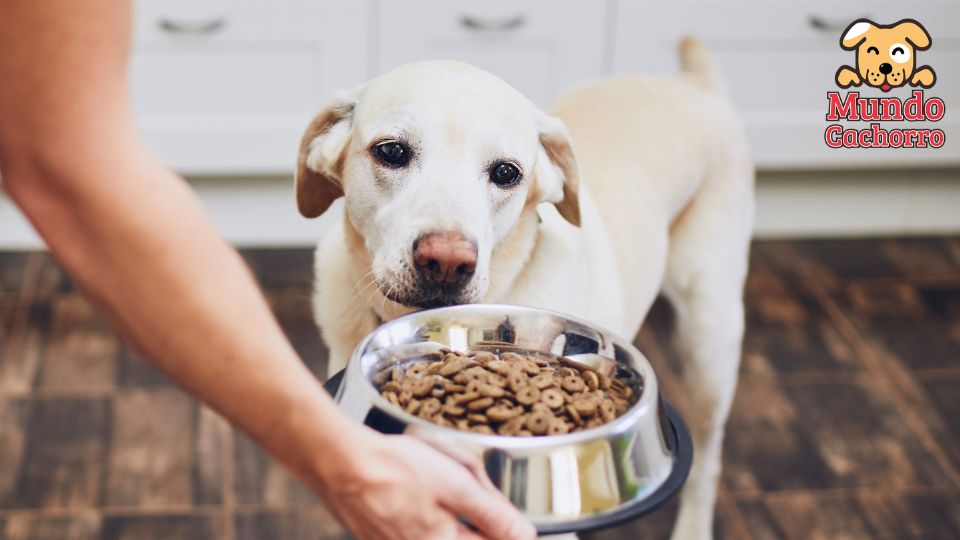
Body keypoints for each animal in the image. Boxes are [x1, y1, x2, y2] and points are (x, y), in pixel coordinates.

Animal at [300, 39, 756, 540]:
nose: (447, 262)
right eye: (392, 151)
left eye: (506, 173)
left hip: (710, 340)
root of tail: (693, 83)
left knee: (709, 458)